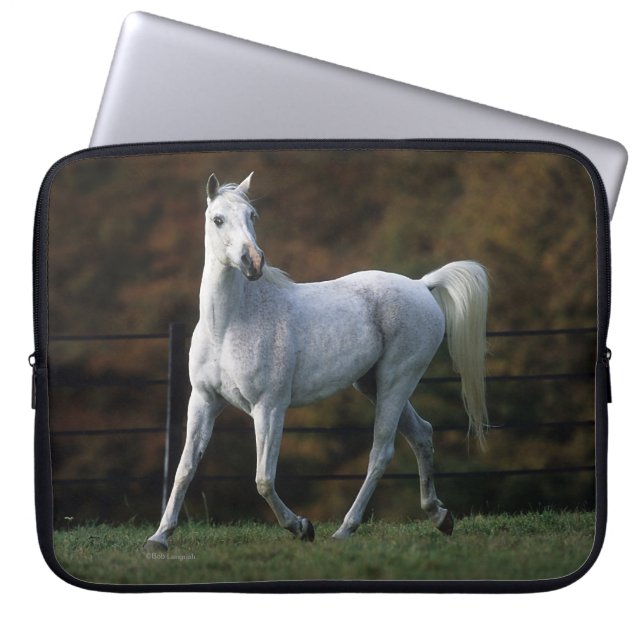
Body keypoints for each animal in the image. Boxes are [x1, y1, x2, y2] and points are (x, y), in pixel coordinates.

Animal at [144, 172, 489, 550]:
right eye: (217, 219)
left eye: (252, 216)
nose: (253, 262)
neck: (229, 324)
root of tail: (422, 284)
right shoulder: (204, 401)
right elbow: (185, 469)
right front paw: (159, 537)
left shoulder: (269, 408)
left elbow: (263, 479)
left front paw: (301, 527)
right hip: (372, 384)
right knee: (422, 434)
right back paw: (440, 517)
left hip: (397, 380)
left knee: (381, 452)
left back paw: (345, 529)